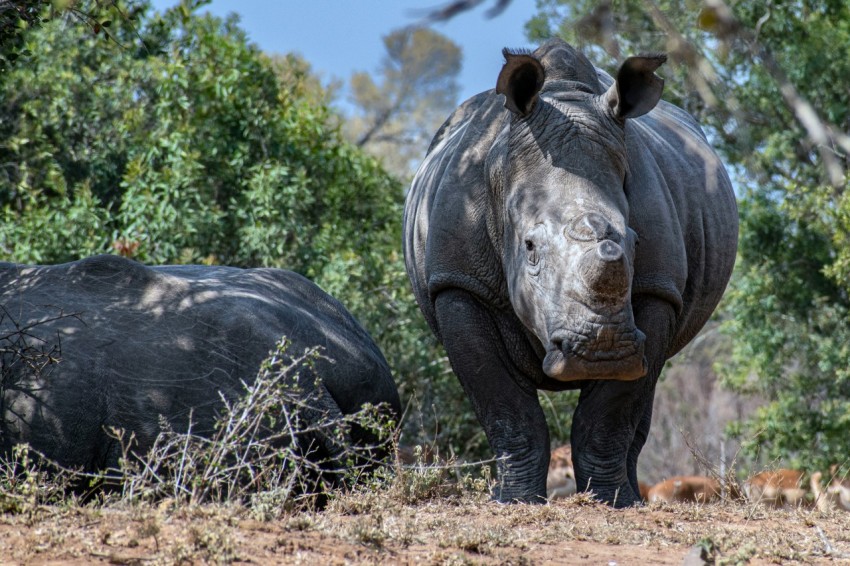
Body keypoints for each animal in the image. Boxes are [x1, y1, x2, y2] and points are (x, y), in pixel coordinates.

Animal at [403, 39, 738, 506]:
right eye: (529, 249)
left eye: (635, 243)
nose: (602, 351)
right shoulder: (458, 284)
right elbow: (504, 406)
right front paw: (514, 501)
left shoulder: (657, 289)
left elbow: (611, 411)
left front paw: (614, 502)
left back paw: (633, 493)